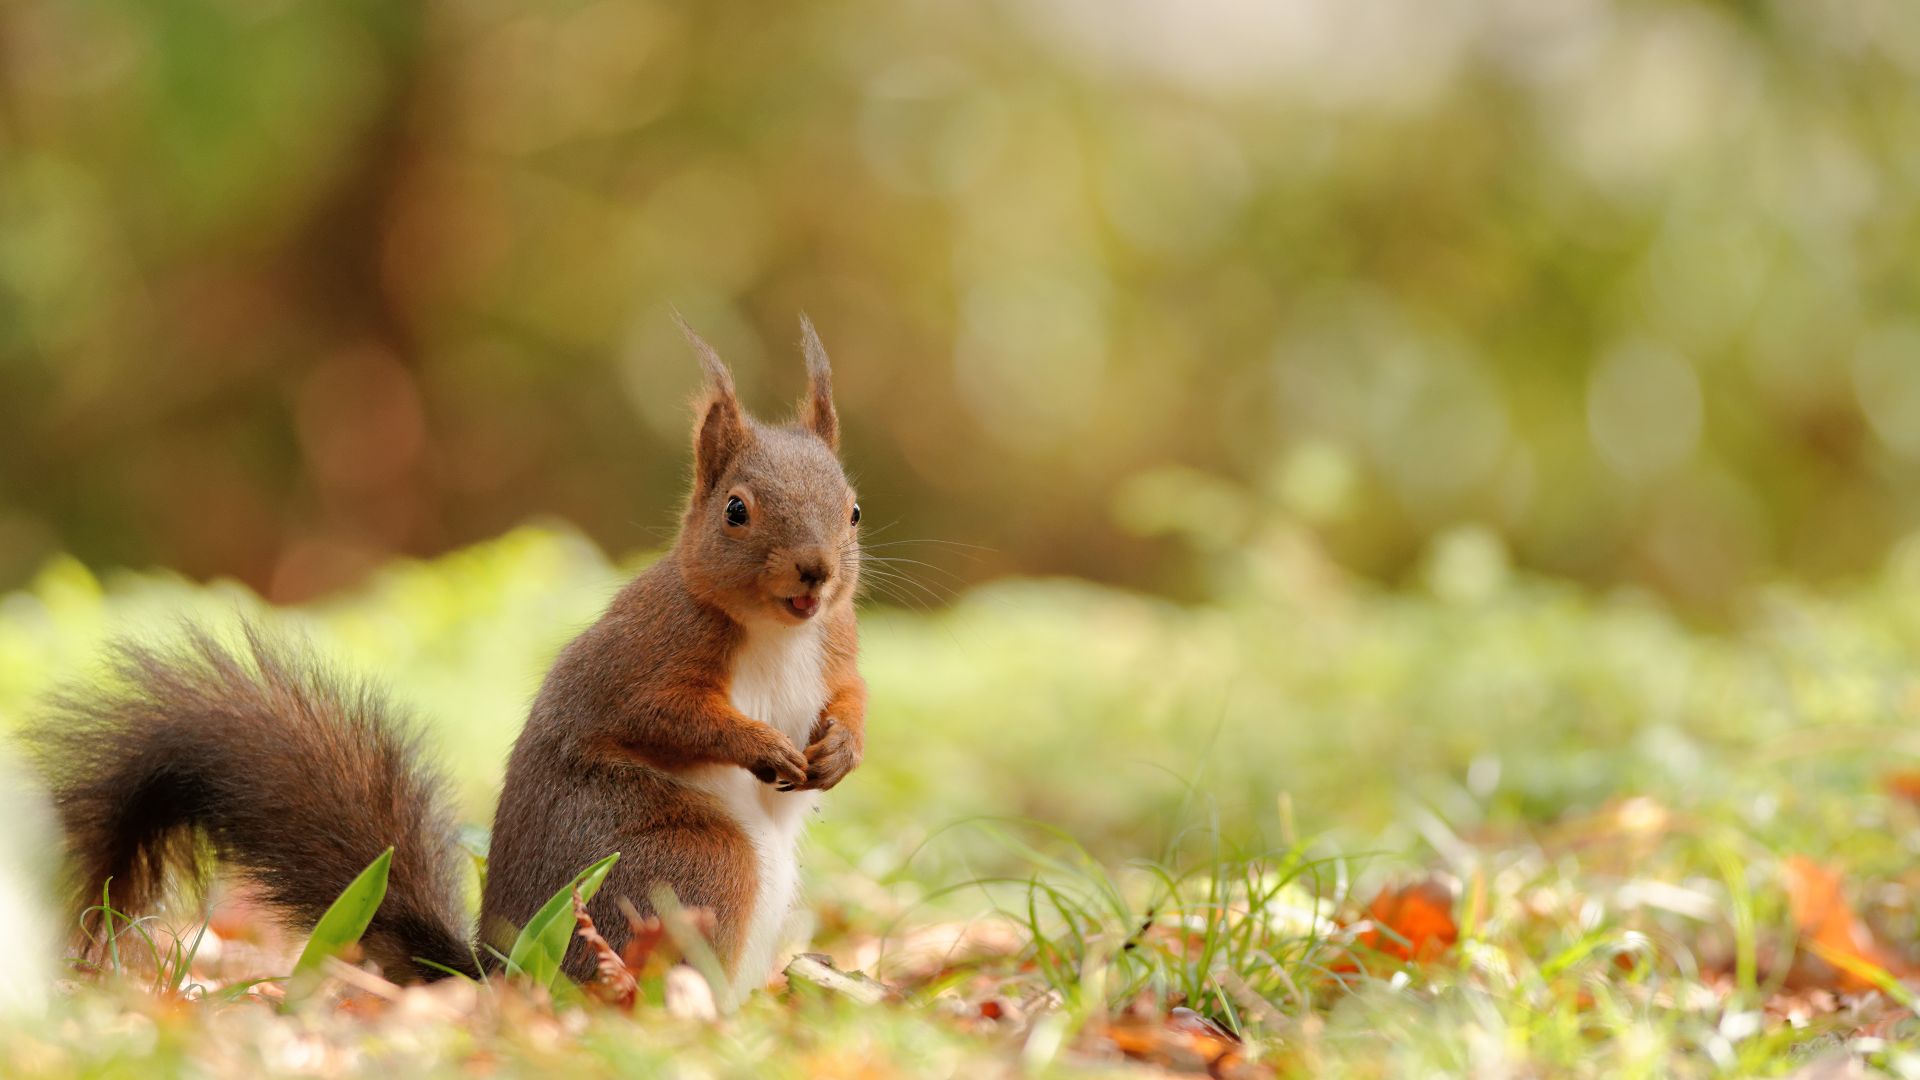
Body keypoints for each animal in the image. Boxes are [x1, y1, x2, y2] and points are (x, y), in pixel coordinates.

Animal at [22, 316, 867, 1001]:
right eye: (736, 511)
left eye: (854, 509)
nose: (816, 572)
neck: (777, 630)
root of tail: (500, 974)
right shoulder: (648, 654)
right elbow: (665, 716)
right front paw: (761, 745)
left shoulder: (838, 642)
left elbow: (851, 695)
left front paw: (841, 750)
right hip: (687, 863)